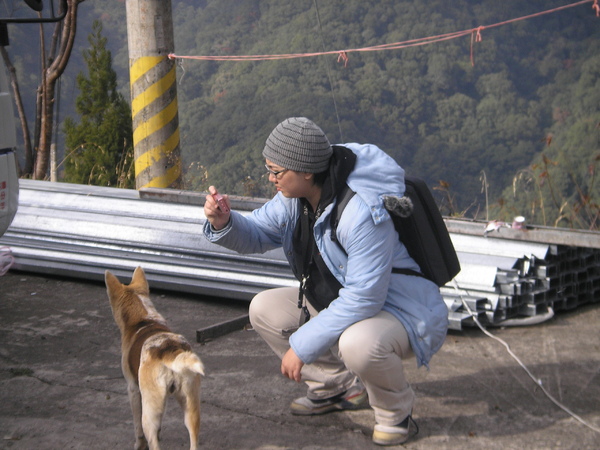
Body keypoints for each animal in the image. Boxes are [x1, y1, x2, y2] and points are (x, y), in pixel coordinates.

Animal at [105, 268, 204, 450]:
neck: (143, 319)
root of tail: (169, 350)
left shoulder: (133, 390)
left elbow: (137, 428)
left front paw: (139, 444)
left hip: (149, 413)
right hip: (191, 409)